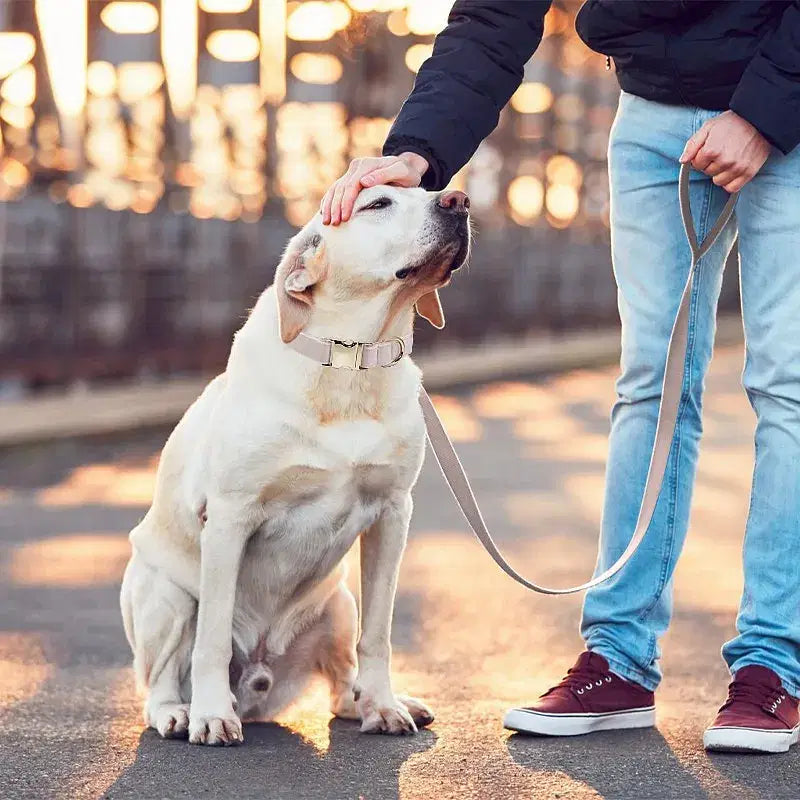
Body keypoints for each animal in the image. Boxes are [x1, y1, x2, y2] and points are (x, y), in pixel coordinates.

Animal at [119, 186, 468, 744]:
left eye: (428, 190)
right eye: (377, 203)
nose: (458, 200)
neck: (351, 360)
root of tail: (259, 688)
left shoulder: (393, 514)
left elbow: (378, 635)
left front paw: (384, 705)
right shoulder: (229, 517)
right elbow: (212, 638)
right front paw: (211, 715)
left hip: (339, 603)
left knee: (341, 679)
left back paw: (371, 702)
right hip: (163, 593)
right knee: (160, 675)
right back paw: (178, 712)